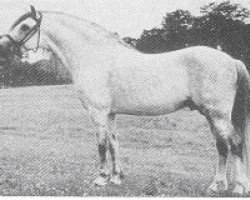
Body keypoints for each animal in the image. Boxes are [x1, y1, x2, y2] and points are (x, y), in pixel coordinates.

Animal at [0, 5, 250, 195]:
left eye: (24, 26)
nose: (3, 48)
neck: (95, 57)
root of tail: (230, 60)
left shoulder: (99, 113)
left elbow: (101, 145)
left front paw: (101, 178)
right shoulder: (110, 114)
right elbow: (114, 144)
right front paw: (116, 178)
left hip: (218, 115)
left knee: (235, 143)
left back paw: (237, 187)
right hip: (211, 115)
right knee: (222, 146)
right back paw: (217, 185)